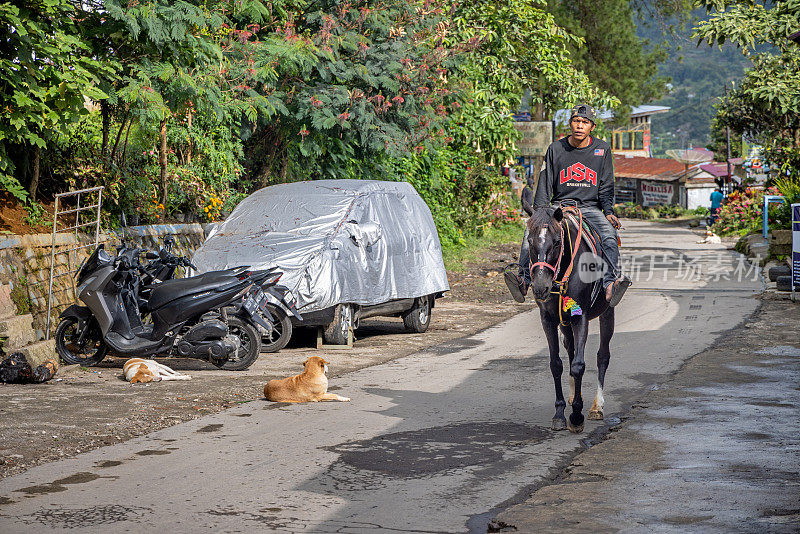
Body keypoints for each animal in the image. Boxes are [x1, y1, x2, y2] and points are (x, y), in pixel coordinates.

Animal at [528, 205, 616, 436]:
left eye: (557, 242)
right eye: (529, 241)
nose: (540, 287)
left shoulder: (580, 316)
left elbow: (578, 365)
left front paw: (576, 416)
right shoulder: (548, 319)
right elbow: (556, 364)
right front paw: (559, 414)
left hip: (607, 312)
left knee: (603, 356)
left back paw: (596, 406)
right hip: (564, 322)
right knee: (569, 349)